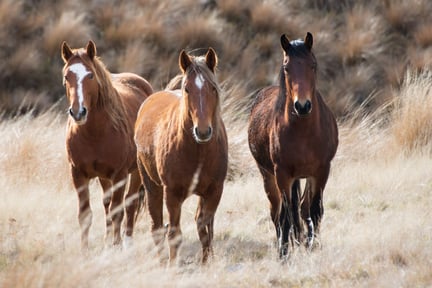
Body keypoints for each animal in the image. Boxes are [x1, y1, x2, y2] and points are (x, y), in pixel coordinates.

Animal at [60, 40, 154, 250]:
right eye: (66, 76)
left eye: (90, 75)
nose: (78, 112)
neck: (95, 134)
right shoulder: (77, 173)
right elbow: (85, 214)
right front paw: (85, 250)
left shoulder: (119, 174)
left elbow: (118, 210)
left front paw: (116, 246)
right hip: (103, 177)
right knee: (107, 204)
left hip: (135, 172)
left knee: (129, 203)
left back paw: (127, 242)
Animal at [134, 47, 230, 266]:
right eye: (187, 89)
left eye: (213, 88)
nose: (202, 131)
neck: (198, 151)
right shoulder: (172, 194)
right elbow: (174, 233)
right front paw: (172, 266)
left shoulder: (214, 191)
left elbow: (205, 228)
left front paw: (206, 263)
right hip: (152, 187)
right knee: (157, 226)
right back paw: (162, 261)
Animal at [248, 32, 340, 258]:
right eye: (287, 67)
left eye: (313, 65)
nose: (302, 105)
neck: (303, 132)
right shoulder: (282, 174)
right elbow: (286, 215)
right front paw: (284, 254)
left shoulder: (321, 171)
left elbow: (314, 210)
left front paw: (312, 245)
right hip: (268, 176)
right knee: (277, 212)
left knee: (303, 207)